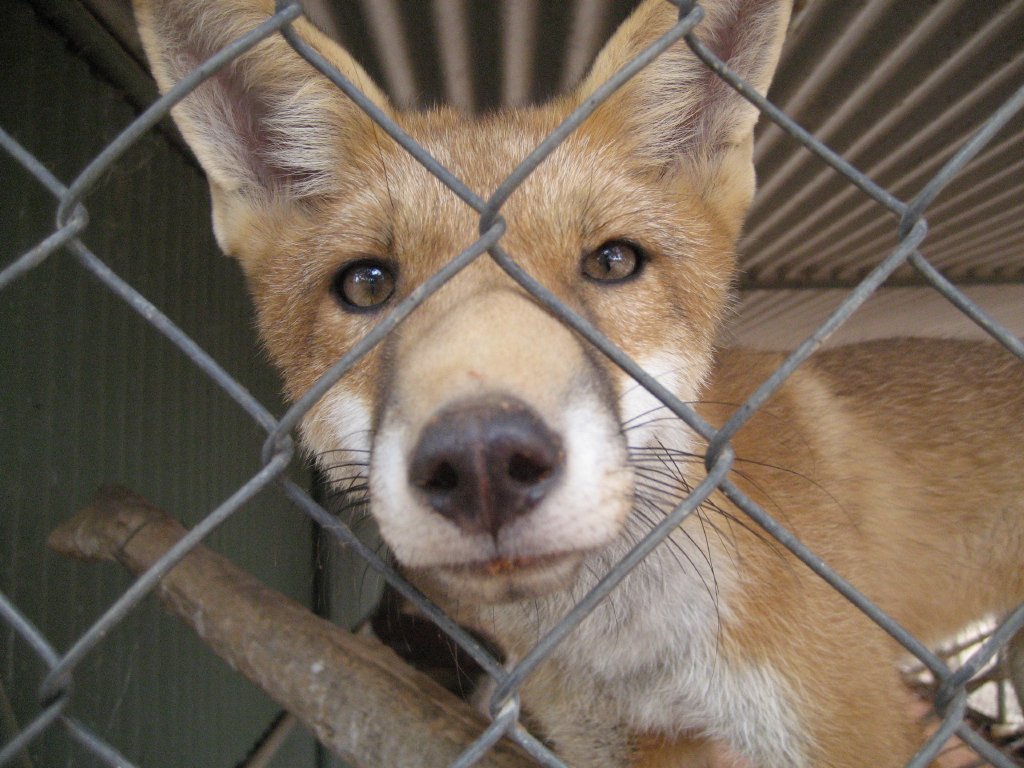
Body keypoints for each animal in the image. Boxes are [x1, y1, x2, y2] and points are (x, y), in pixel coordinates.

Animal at [131, 0, 1024, 765]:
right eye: (367, 284)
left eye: (614, 262)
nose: (483, 464)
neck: (638, 656)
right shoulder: (621, 745)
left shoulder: (845, 725)